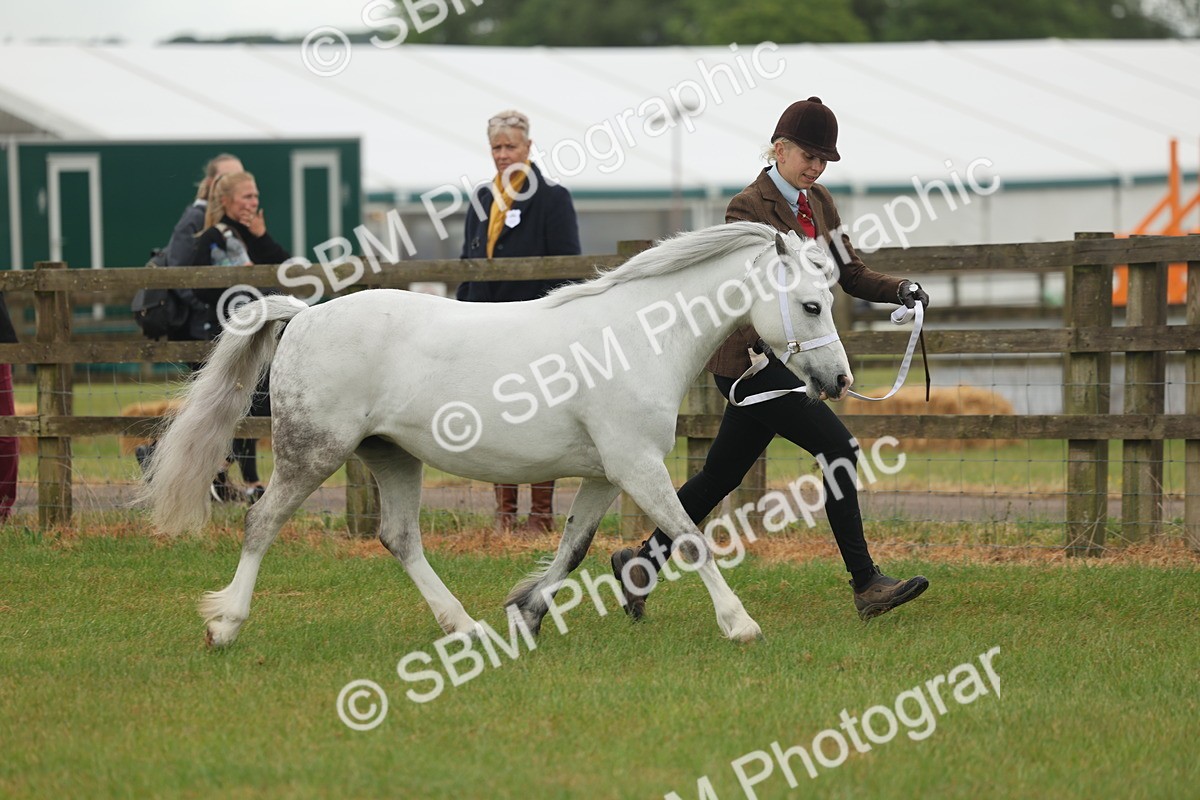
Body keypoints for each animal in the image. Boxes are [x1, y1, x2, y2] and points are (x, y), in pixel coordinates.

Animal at [141, 221, 853, 647]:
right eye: (812, 304)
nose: (840, 379)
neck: (636, 338)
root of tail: (304, 317)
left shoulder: (606, 474)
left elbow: (574, 547)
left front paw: (526, 615)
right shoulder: (638, 467)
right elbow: (691, 539)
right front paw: (740, 624)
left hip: (392, 457)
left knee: (399, 538)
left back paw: (464, 627)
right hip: (312, 452)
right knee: (262, 522)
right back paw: (225, 626)